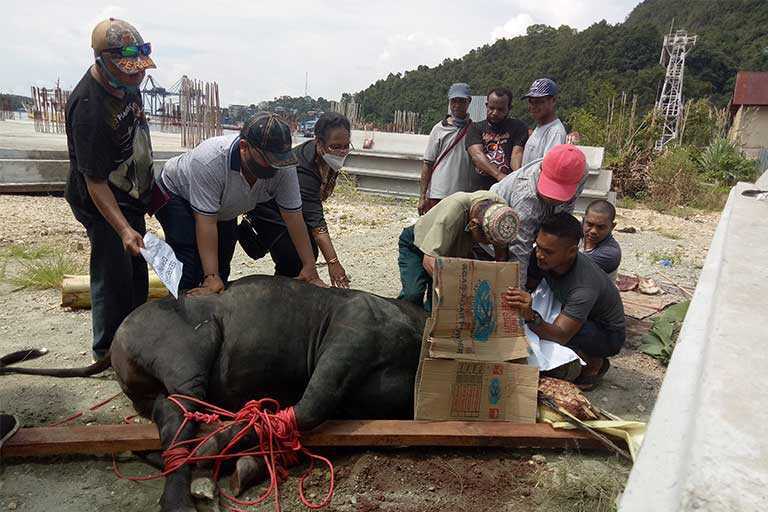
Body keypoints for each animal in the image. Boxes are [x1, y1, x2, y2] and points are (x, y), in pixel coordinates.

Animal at [1, 278, 426, 510]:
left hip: (157, 390)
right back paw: (186, 491)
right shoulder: (350, 337)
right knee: (185, 415)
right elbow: (306, 408)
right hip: (186, 356)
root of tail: (119, 333)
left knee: (170, 415)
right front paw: (222, 457)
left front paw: (245, 466)